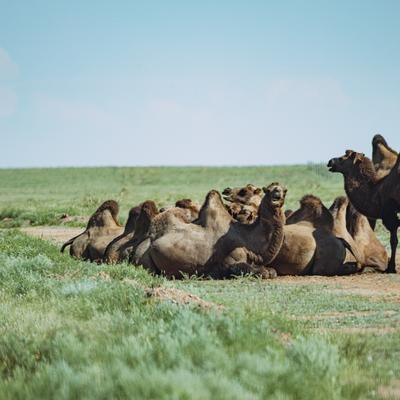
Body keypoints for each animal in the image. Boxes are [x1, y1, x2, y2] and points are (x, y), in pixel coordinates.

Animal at [141, 182, 288, 278]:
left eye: (284, 190)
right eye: (269, 190)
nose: (277, 195)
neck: (247, 239)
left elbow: (272, 271)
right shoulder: (229, 261)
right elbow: (260, 271)